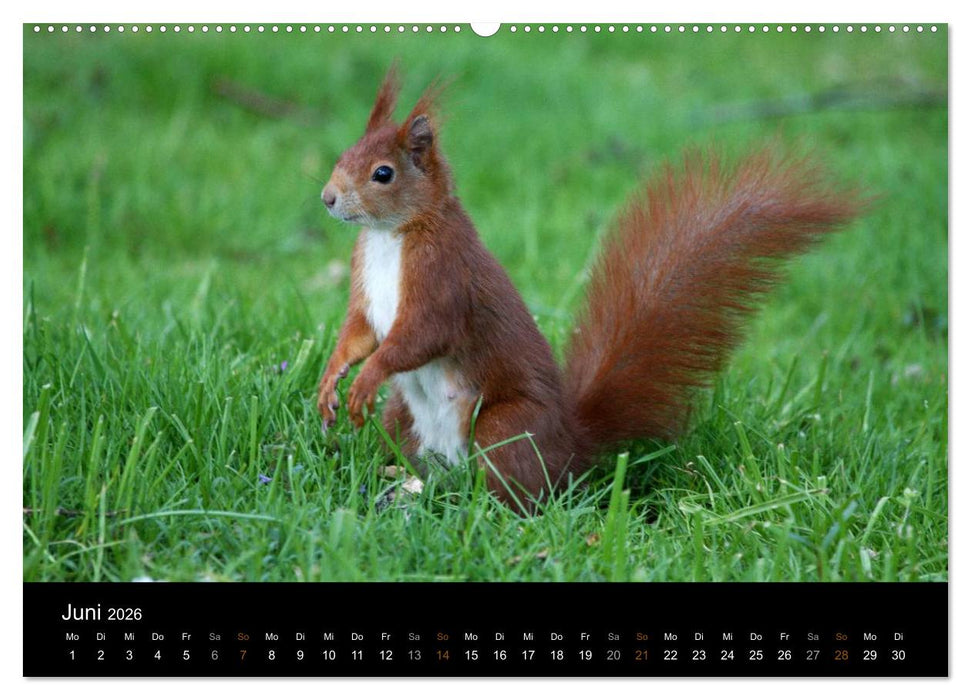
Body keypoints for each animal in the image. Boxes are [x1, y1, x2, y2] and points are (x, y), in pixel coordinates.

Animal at [316, 67, 863, 511]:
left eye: (382, 174)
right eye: (343, 155)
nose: (327, 198)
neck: (390, 236)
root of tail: (570, 445)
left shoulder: (443, 277)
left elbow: (420, 335)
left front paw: (368, 376)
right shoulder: (366, 286)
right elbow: (360, 332)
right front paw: (332, 379)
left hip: (503, 427)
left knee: (518, 492)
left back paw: (482, 510)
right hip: (402, 417)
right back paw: (398, 479)